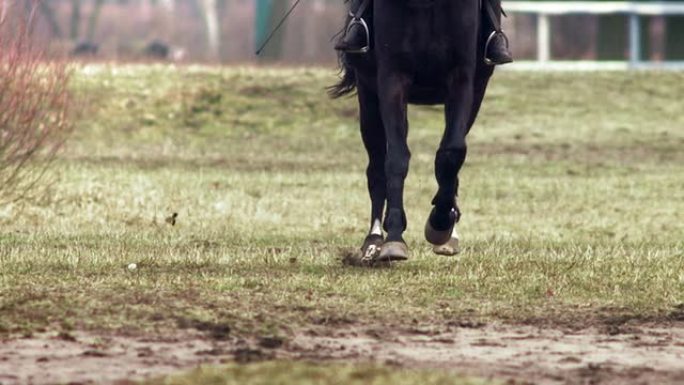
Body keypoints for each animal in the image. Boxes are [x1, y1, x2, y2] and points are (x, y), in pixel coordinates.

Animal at [330, 0, 494, 260]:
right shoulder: (392, 81)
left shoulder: (463, 82)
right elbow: (396, 159)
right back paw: (374, 240)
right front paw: (395, 236)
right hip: (369, 100)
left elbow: (451, 154)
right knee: (376, 169)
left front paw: (441, 224)